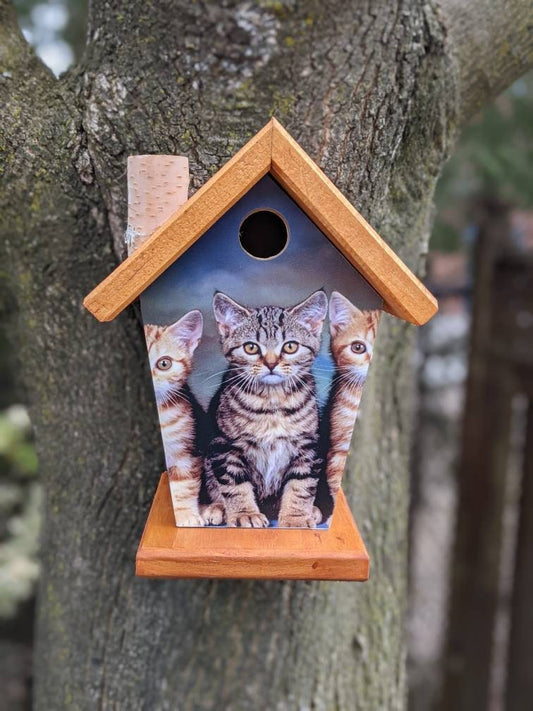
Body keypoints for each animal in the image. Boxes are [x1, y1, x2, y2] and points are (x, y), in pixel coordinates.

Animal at [205, 290, 326, 528]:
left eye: (290, 346)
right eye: (251, 347)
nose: (271, 364)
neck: (272, 403)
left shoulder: (307, 444)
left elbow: (301, 485)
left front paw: (296, 518)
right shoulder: (225, 444)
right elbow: (233, 483)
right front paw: (244, 514)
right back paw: (217, 508)